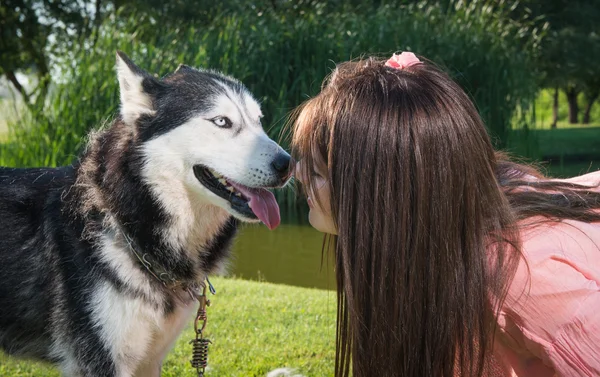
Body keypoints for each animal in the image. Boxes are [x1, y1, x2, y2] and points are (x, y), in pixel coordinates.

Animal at [0, 51, 292, 374]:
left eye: (259, 122)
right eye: (222, 122)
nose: (288, 164)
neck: (124, 224)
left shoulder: (149, 360)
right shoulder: (101, 361)